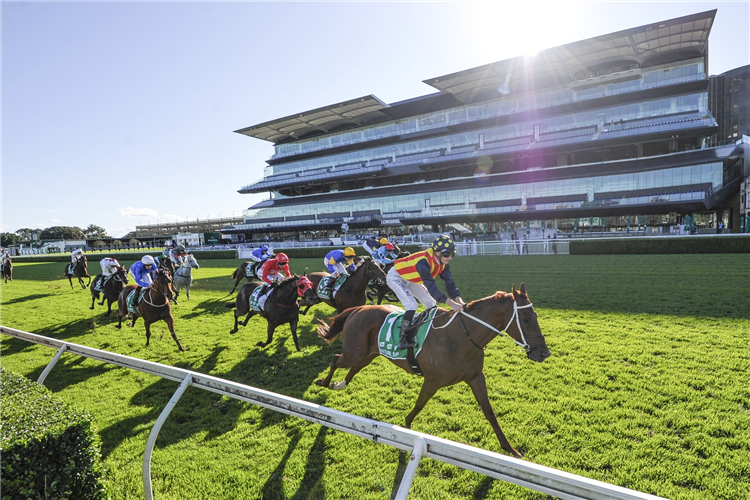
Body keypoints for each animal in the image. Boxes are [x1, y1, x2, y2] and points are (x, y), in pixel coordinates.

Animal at [314, 284, 548, 458]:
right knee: (336, 360)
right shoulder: (432, 381)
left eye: (536, 315)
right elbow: (418, 406)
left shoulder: (475, 377)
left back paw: (339, 384)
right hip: (355, 352)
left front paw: (510, 448)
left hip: (367, 355)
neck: (460, 336)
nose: (544, 353)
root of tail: (358, 309)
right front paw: (407, 432)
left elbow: (489, 412)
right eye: (526, 319)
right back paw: (324, 382)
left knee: (352, 369)